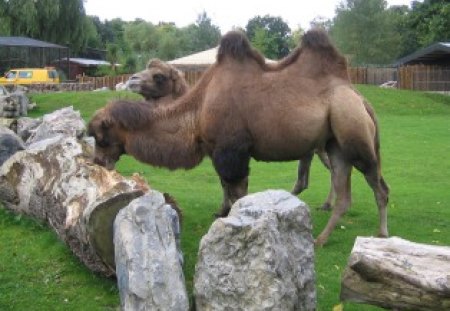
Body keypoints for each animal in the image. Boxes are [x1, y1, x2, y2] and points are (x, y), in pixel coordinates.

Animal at [89, 29, 390, 246]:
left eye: (101, 136)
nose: (98, 162)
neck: (196, 111)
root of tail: (360, 98)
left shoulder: (232, 151)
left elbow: (237, 193)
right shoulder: (218, 151)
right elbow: (228, 188)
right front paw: (224, 215)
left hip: (354, 134)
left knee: (379, 185)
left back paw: (382, 234)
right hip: (335, 144)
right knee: (344, 194)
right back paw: (321, 238)